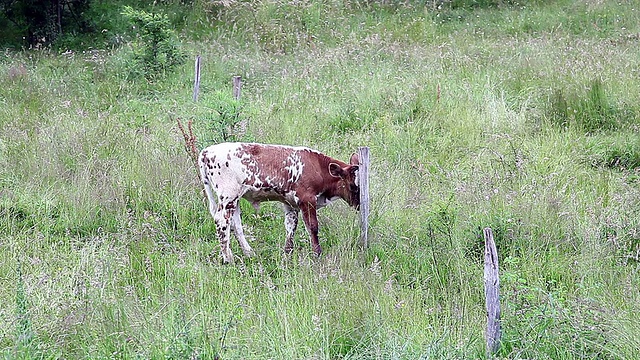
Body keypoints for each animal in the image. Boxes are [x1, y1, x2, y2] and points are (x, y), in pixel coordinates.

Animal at [199, 142, 360, 262]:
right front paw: (317, 254)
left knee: (236, 225)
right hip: (228, 196)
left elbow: (290, 227)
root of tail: (206, 151)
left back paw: (249, 253)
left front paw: (287, 253)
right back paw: (228, 259)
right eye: (353, 186)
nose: (359, 205)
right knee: (221, 221)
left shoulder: (290, 203)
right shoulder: (307, 200)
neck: (318, 167)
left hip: (235, 199)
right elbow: (313, 227)